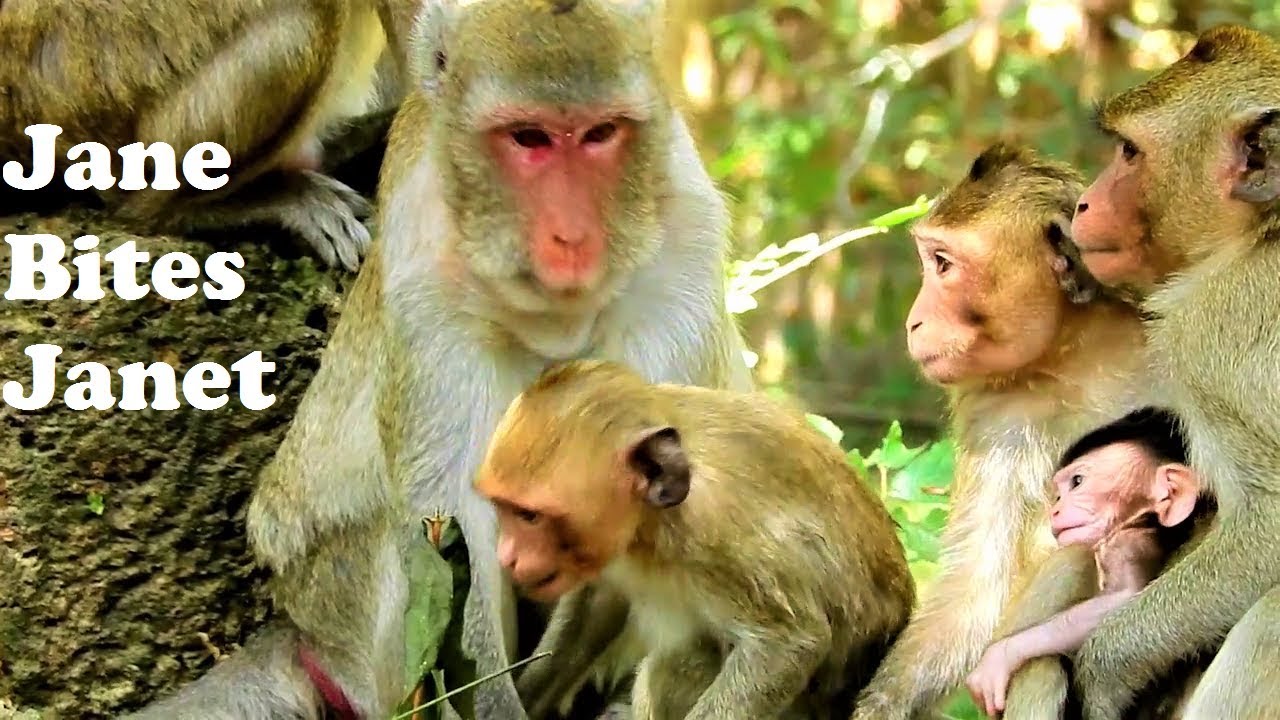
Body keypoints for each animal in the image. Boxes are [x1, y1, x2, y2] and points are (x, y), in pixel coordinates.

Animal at [122, 0, 755, 718]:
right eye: (528, 138)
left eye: (600, 134)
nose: (571, 235)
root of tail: (301, 629)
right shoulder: (424, 262)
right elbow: (451, 521)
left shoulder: (682, 245)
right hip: (345, 614)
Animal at [475, 359, 915, 720]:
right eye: (504, 508)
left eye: (530, 516)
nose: (506, 556)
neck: (649, 522)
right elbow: (595, 606)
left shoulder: (722, 538)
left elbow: (789, 645)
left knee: (669, 666)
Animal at [966, 406, 1208, 718]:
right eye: (1059, 493)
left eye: (1077, 482)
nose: (1055, 509)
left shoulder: (1130, 543)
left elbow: (1123, 595)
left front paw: (1002, 656)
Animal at [1062, 23, 1280, 720]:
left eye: (1129, 153)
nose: (1082, 203)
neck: (1263, 231)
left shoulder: (1210, 340)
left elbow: (1268, 532)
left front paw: (1104, 671)